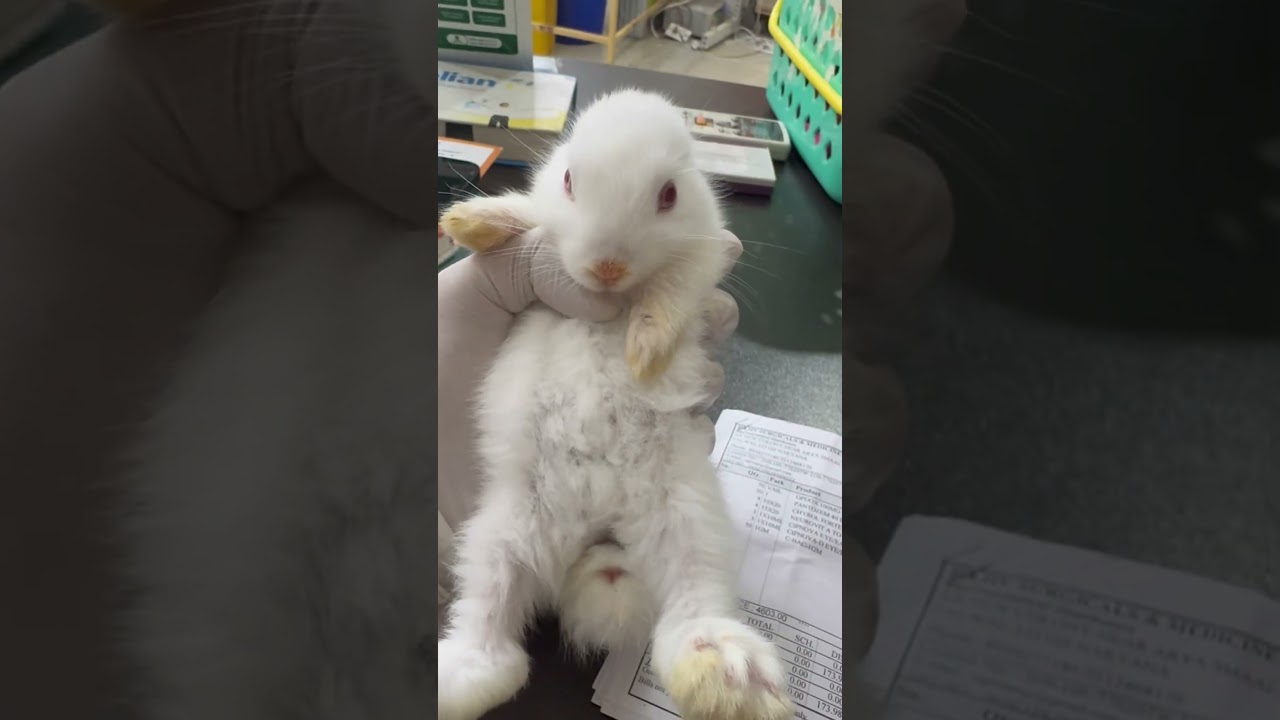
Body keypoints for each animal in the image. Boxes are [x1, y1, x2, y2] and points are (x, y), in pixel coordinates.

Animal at [437, 89, 794, 720]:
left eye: (669, 194)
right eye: (570, 180)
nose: (608, 266)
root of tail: (597, 526)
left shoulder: (702, 258)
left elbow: (671, 293)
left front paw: (645, 353)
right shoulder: (544, 220)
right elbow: (525, 213)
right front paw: (468, 222)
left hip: (689, 519)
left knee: (690, 613)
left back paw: (730, 679)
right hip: (501, 532)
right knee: (492, 636)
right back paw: (452, 681)